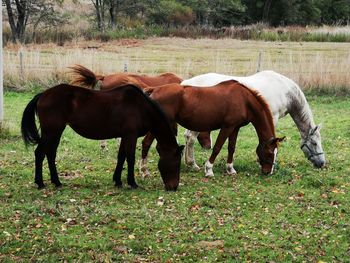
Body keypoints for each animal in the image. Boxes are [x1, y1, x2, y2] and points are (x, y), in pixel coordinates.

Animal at [21, 83, 183, 191]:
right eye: (176, 163)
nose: (173, 187)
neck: (140, 107)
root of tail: (42, 95)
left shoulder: (125, 136)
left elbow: (121, 156)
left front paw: (117, 180)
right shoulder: (131, 135)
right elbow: (130, 158)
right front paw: (132, 183)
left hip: (56, 132)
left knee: (50, 154)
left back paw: (57, 182)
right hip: (51, 131)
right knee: (40, 153)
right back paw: (40, 183)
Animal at [139, 81, 284, 178]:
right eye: (270, 153)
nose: (268, 172)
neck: (244, 100)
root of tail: (154, 89)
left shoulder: (235, 128)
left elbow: (231, 147)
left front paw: (230, 169)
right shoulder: (227, 127)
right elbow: (218, 147)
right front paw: (209, 169)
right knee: (146, 143)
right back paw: (144, 171)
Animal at [182, 70, 326, 175]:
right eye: (314, 143)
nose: (322, 163)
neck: (285, 91)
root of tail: (186, 82)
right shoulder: (272, 117)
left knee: (188, 137)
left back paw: (190, 163)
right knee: (191, 138)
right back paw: (193, 164)